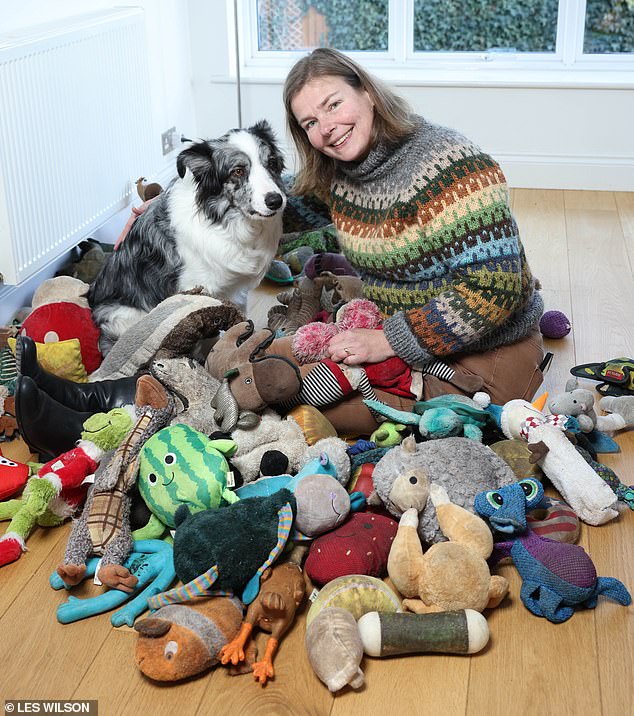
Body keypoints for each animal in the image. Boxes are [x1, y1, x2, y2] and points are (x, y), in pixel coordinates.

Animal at [87, 121, 286, 356]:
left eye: (271, 163)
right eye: (238, 171)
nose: (276, 201)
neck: (226, 223)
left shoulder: (236, 291)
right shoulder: (197, 289)